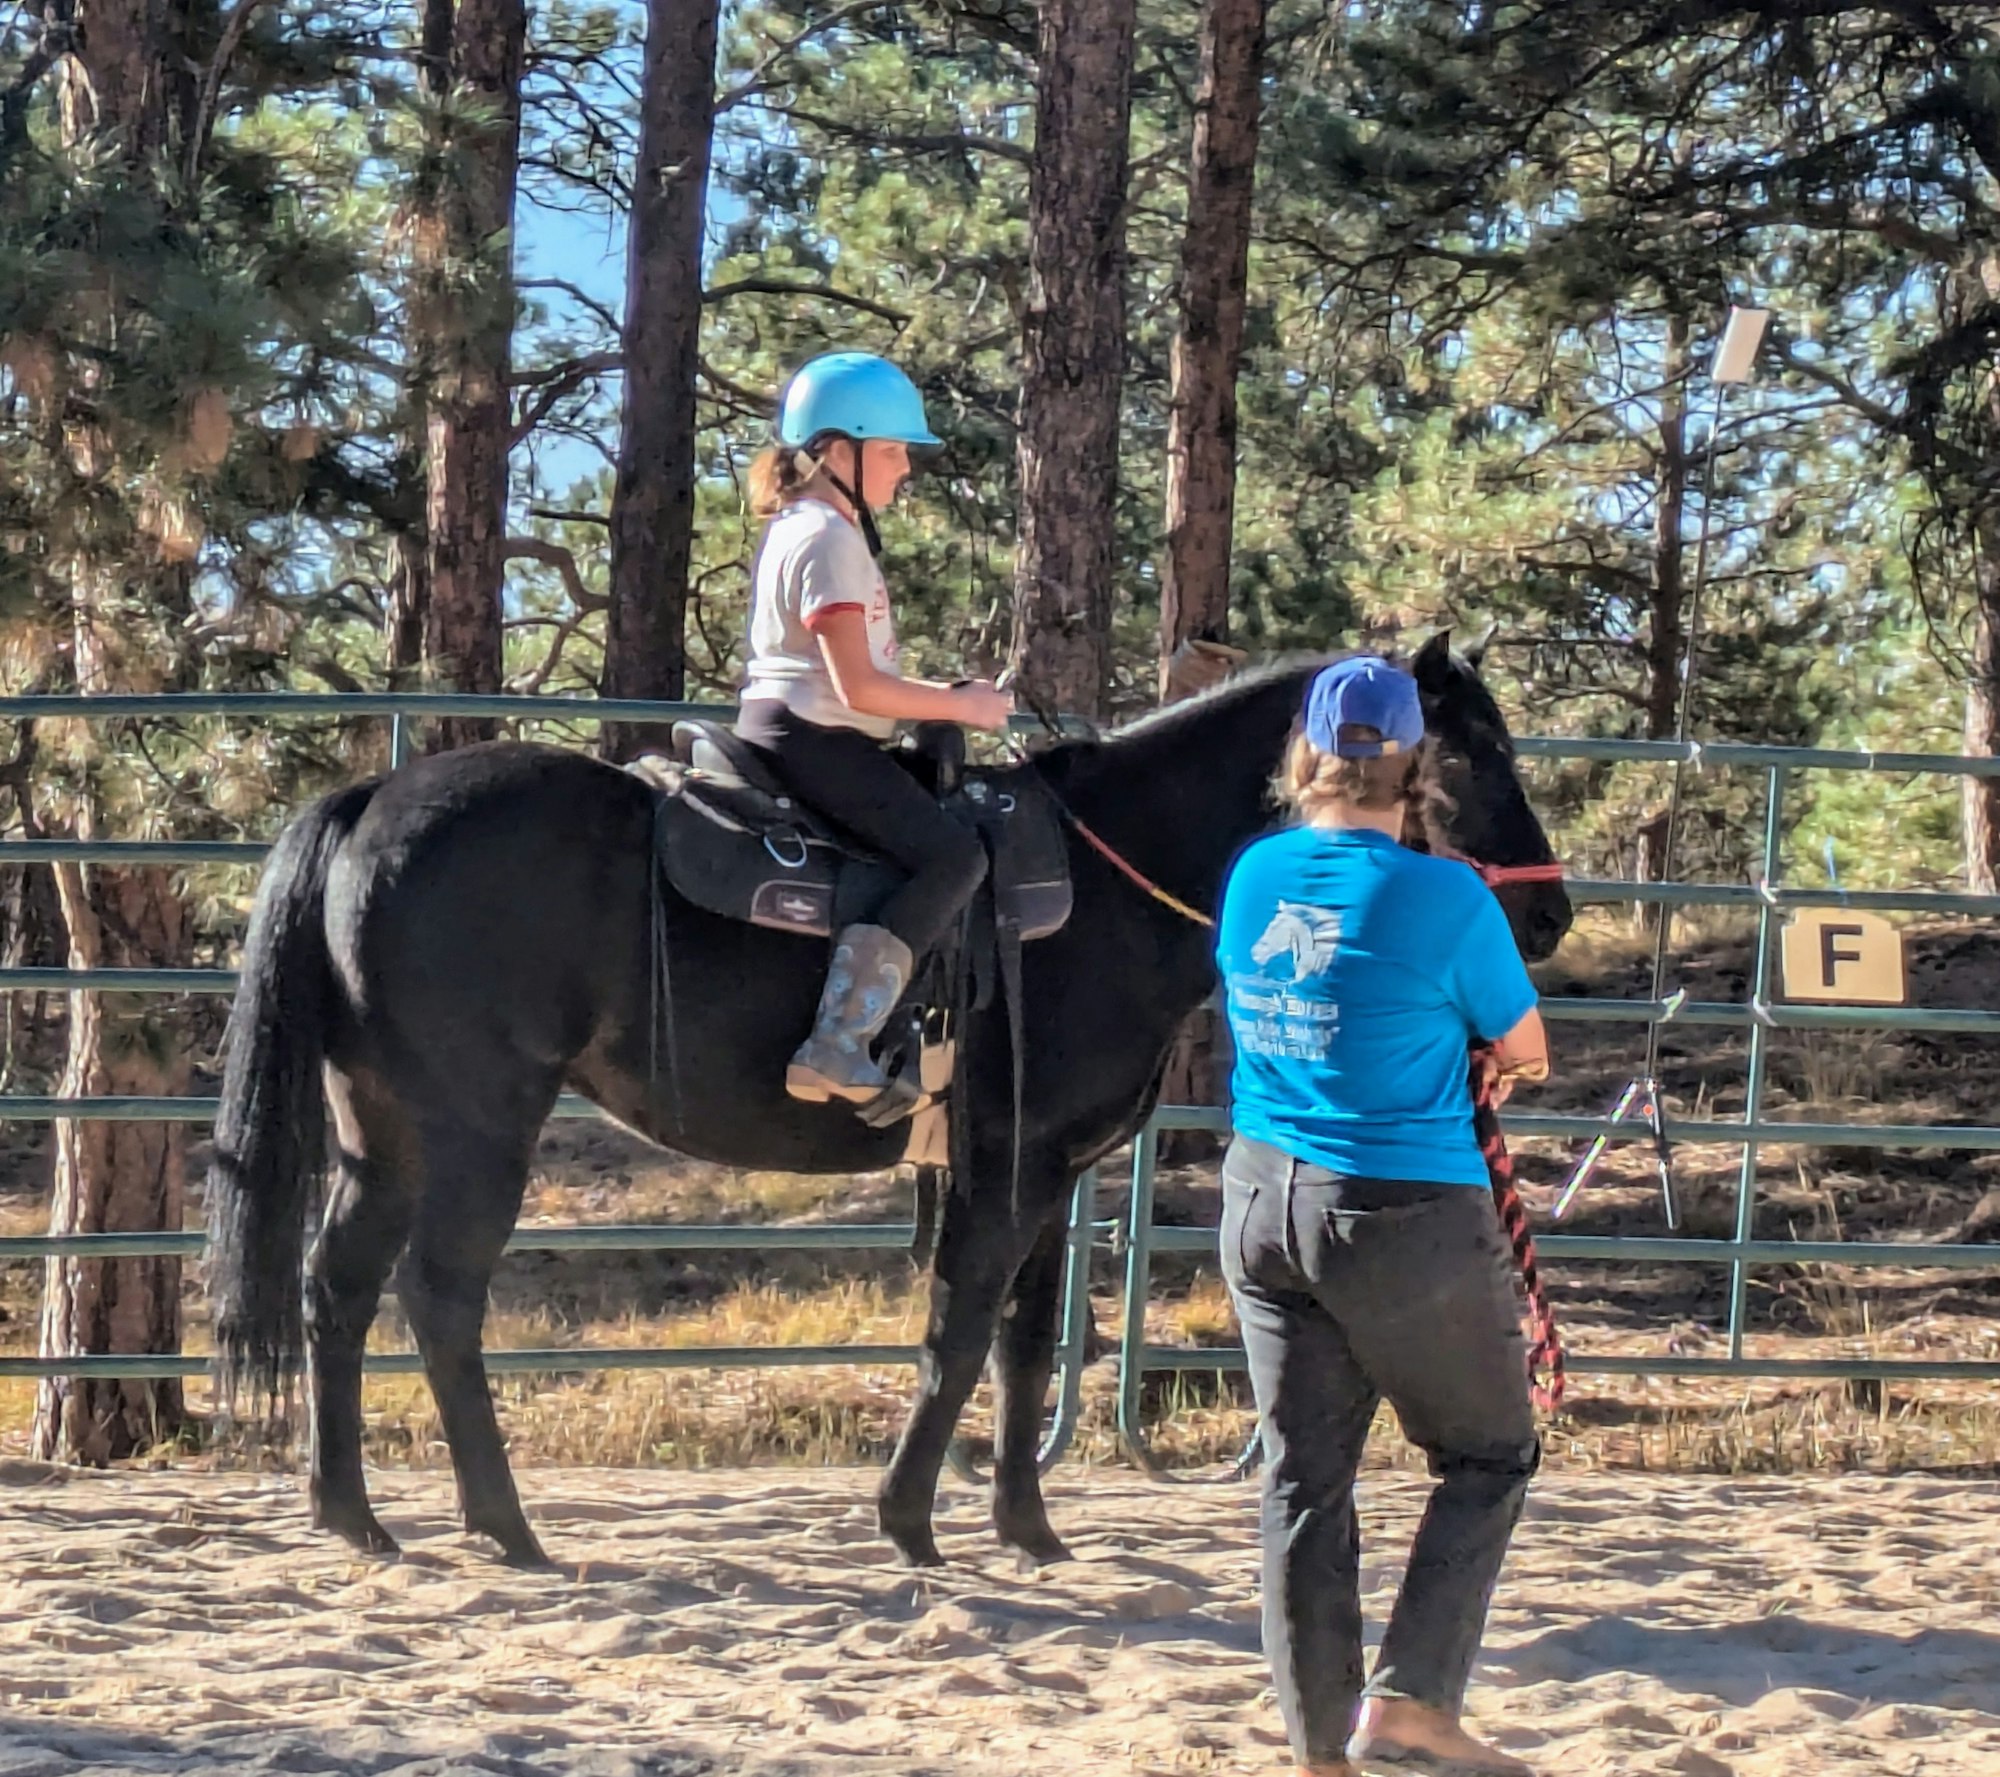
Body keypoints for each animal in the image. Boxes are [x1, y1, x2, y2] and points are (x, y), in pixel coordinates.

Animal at [205, 636, 1572, 1570]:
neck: (1103, 884)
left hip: (379, 1122)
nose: (1550, 914)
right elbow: (957, 1332)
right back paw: (504, 1522)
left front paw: (1027, 1527)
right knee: (440, 1297)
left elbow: (1025, 1342)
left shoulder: (1046, 1170)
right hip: (478, 1122)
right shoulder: (1007, 1162)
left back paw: (354, 1515)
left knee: (337, 1285)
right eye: (1470, 751)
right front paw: (910, 1520)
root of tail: (371, 802)